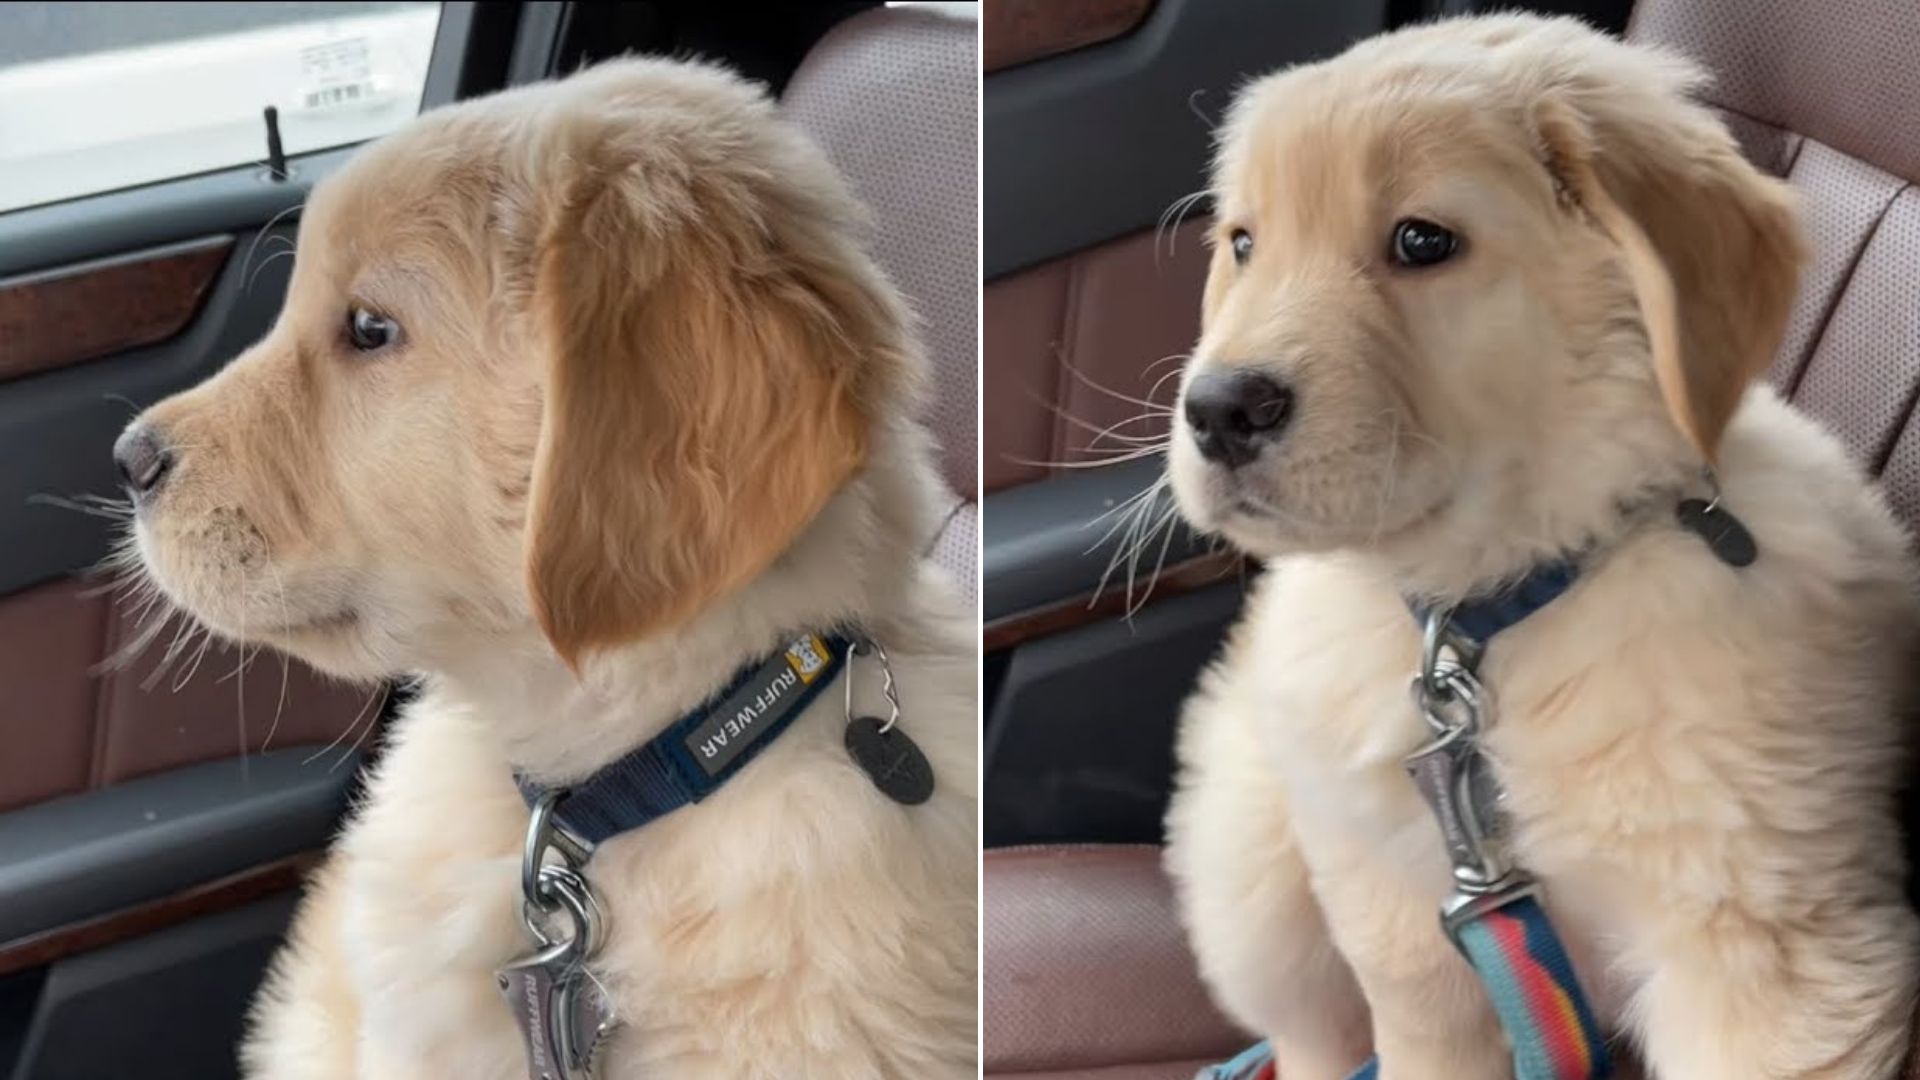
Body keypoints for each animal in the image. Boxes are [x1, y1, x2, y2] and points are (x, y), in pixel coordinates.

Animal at [1159, 14, 1920, 1076]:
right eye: (1243, 243)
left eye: (1423, 241)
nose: (1219, 410)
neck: (1493, 613)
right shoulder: (1407, 928)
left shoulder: (1762, 960)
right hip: (1250, 864)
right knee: (1307, 1032)